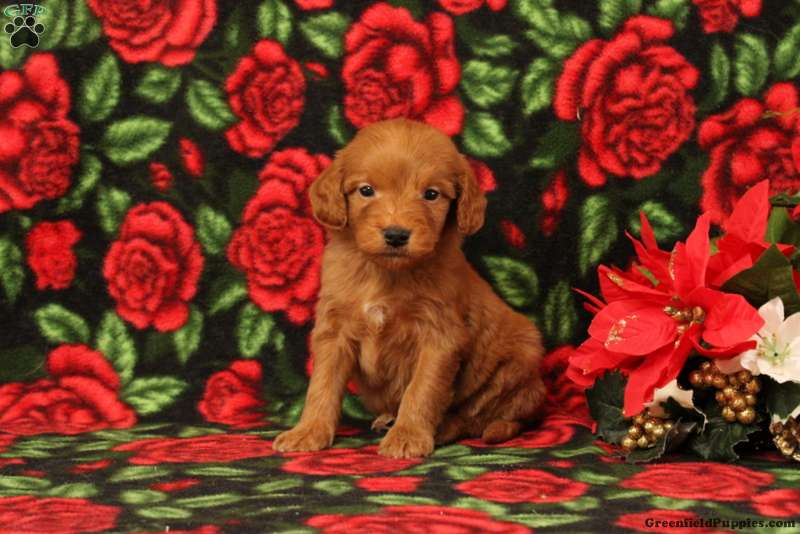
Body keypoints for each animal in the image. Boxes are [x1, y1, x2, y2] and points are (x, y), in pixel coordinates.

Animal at [273, 119, 545, 458]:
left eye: (431, 194)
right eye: (366, 190)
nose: (396, 235)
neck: (386, 273)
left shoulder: (440, 336)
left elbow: (422, 389)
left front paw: (408, 436)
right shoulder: (333, 330)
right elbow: (322, 385)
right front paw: (308, 431)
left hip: (517, 361)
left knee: (474, 417)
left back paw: (441, 428)